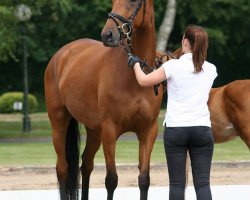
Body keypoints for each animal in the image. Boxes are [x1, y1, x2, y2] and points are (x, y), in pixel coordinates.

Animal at [45, 0, 162, 200]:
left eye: (132, 1)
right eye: (113, 2)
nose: (108, 35)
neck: (136, 75)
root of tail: (61, 54)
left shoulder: (148, 131)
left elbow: (144, 178)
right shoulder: (110, 130)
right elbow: (111, 180)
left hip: (94, 130)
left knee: (86, 164)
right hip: (59, 124)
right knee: (62, 169)